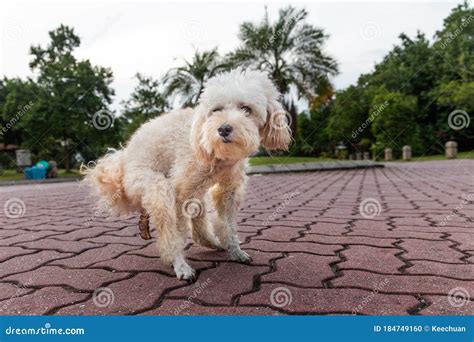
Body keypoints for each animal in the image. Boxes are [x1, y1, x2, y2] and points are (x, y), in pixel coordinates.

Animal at [84, 69, 292, 280]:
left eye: (246, 109)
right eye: (216, 109)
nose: (223, 129)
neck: (215, 153)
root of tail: (122, 160)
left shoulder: (228, 191)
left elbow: (228, 224)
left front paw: (235, 251)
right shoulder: (180, 193)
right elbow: (176, 232)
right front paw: (180, 264)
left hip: (195, 191)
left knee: (199, 225)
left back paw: (212, 242)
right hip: (152, 185)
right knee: (167, 220)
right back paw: (181, 262)